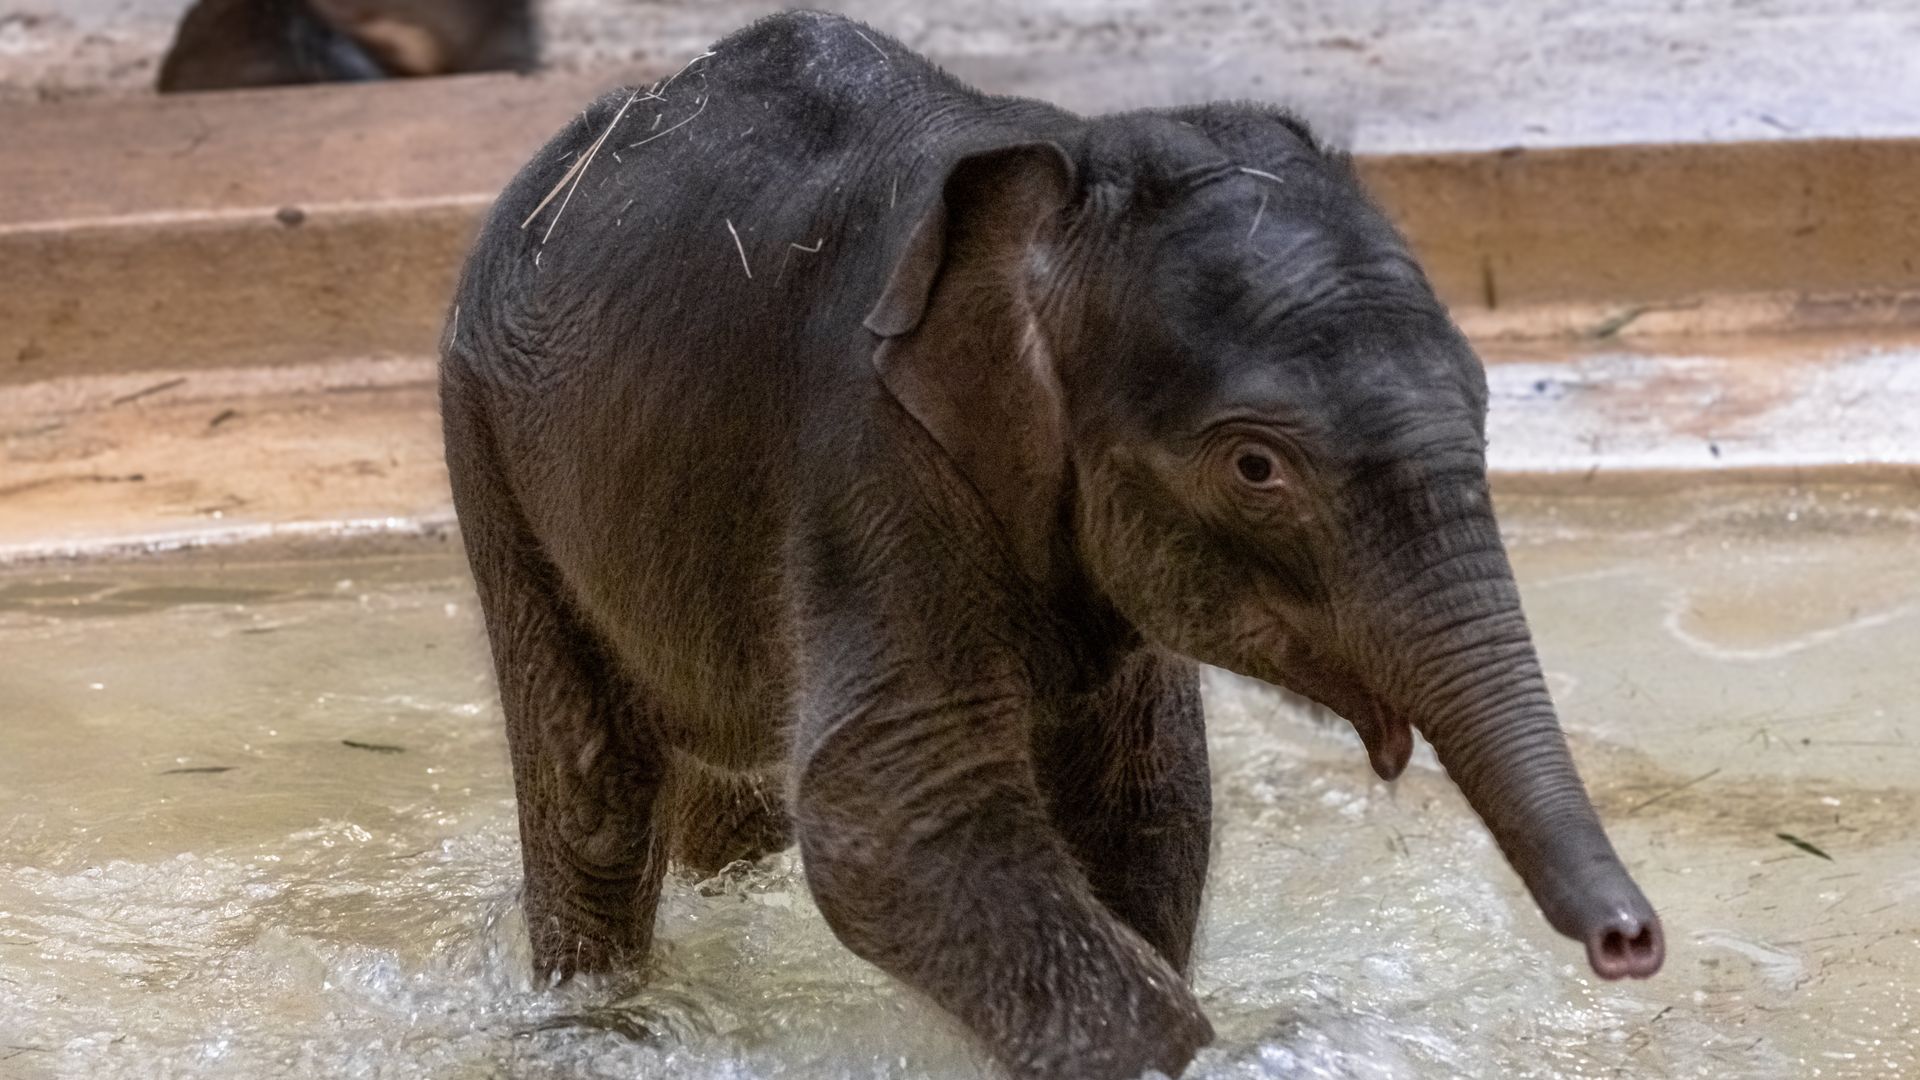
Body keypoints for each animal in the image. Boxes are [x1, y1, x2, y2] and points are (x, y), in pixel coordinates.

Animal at [440, 12, 1662, 1079]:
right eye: (1255, 468)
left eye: (1484, 403)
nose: (1630, 943)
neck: (1060, 174)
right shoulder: (870, 458)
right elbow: (886, 816)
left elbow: (1148, 800)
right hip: (486, 438)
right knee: (595, 789)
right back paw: (598, 1027)